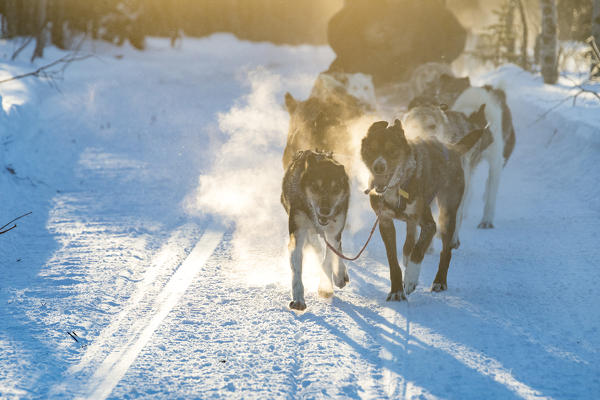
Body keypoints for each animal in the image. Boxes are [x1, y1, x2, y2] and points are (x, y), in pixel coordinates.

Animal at [282, 150, 352, 310]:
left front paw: (326, 287)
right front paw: (298, 299)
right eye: (315, 187)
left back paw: (339, 275)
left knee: (336, 248)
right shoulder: (298, 233)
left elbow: (329, 258)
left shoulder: (333, 232)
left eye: (335, 188)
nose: (325, 210)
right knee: (316, 244)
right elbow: (297, 269)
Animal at [360, 117, 488, 298]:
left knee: (445, 251)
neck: (399, 186)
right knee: (409, 242)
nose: (378, 166)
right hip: (414, 220)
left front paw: (411, 279)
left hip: (447, 213)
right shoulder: (385, 222)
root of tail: (452, 148)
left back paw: (440, 281)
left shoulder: (429, 225)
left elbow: (418, 250)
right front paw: (396, 291)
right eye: (372, 149)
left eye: (392, 151)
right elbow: (393, 259)